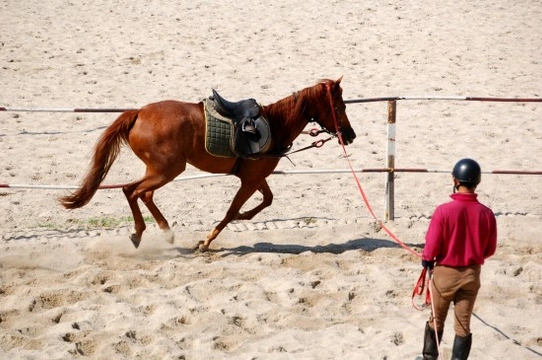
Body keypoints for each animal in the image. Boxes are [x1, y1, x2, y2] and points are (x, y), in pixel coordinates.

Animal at [59, 77, 356, 250]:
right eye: (340, 106)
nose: (350, 135)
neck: (275, 125)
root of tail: (139, 113)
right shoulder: (249, 181)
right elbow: (231, 211)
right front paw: (207, 240)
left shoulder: (254, 177)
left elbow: (266, 200)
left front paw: (243, 217)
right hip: (167, 170)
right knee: (132, 191)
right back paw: (142, 234)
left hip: (159, 170)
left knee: (143, 194)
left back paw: (163, 232)